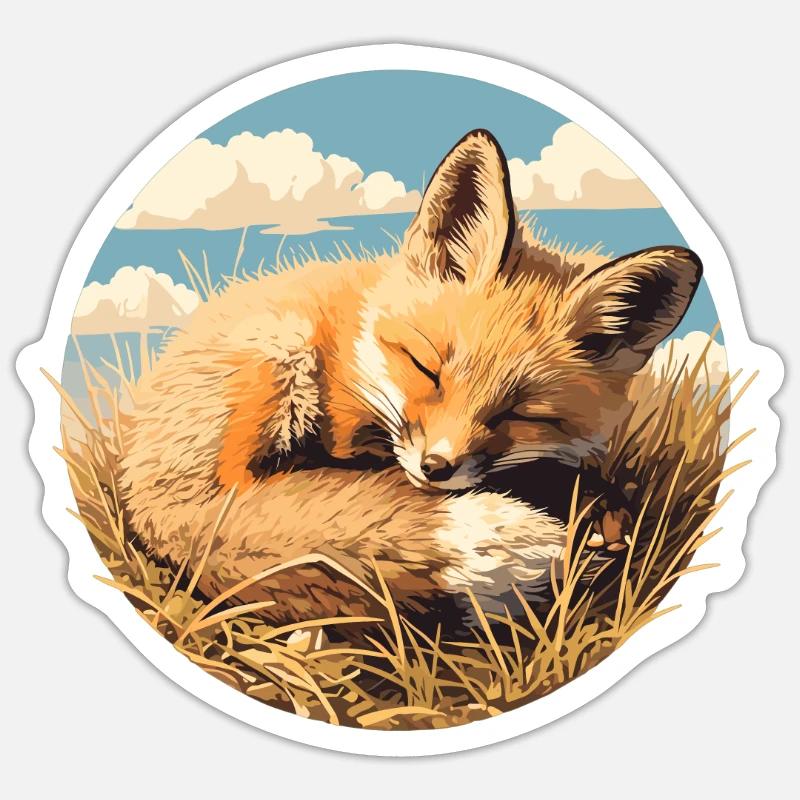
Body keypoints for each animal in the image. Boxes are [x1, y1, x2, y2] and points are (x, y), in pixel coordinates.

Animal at [117, 129, 701, 630]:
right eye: (428, 370)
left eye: (519, 413)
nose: (436, 467)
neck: (360, 346)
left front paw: (600, 503)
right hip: (277, 352)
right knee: (235, 495)